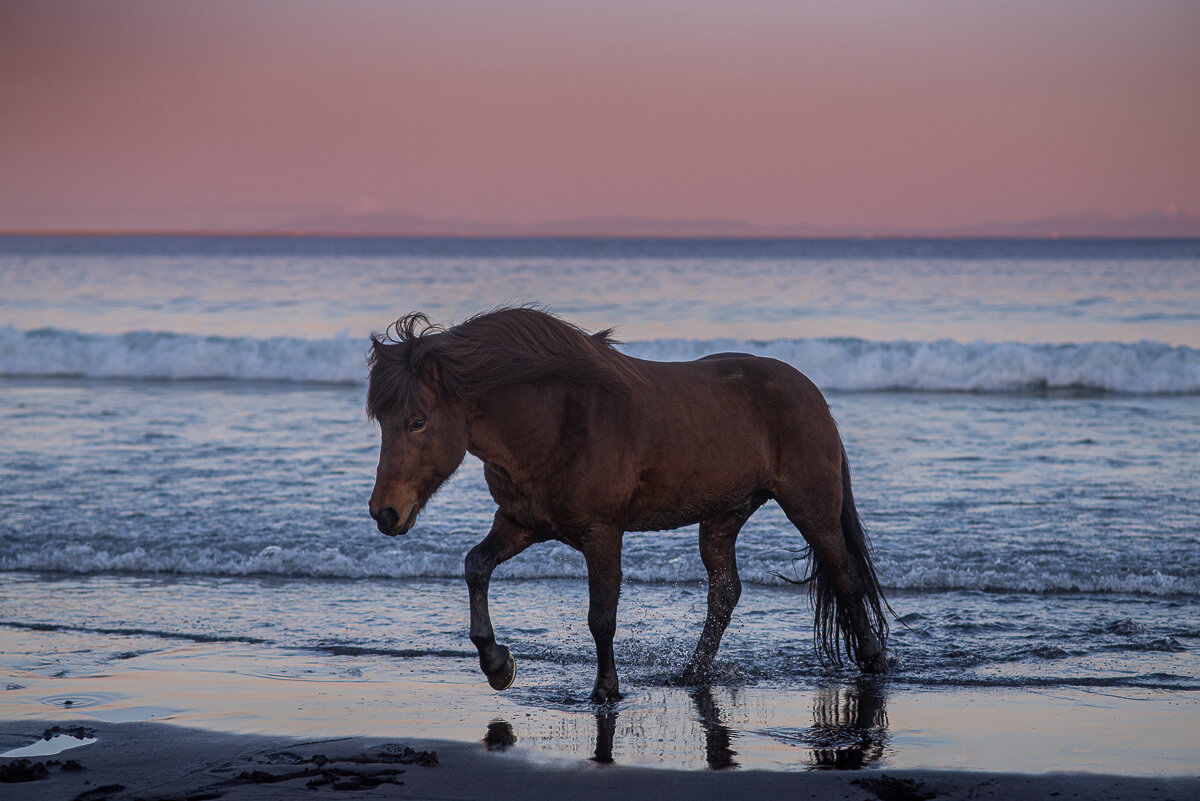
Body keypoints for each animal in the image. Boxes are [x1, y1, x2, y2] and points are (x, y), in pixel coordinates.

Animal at [367, 306, 892, 700]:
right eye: (381, 420)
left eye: (418, 421)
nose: (384, 512)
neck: (557, 420)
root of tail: (811, 393)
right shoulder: (520, 522)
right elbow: (476, 567)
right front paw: (497, 664)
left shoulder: (602, 534)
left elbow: (601, 616)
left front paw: (606, 689)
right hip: (723, 516)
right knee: (724, 594)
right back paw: (691, 674)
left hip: (811, 509)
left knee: (846, 575)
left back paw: (873, 660)